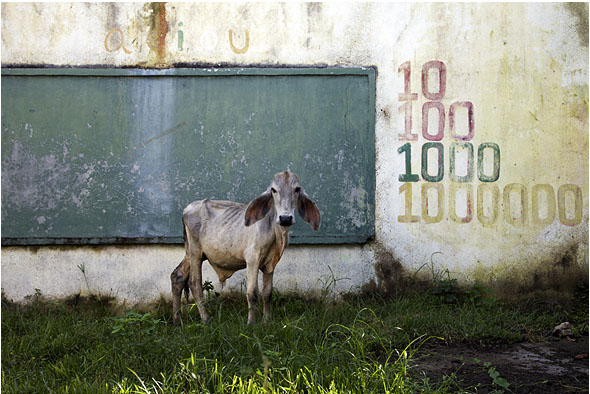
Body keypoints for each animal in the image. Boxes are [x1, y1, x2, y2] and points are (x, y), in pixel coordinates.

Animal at [169, 171, 322, 324]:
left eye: (297, 189)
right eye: (274, 190)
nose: (285, 218)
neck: (275, 232)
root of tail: (187, 208)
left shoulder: (270, 263)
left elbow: (268, 293)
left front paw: (266, 322)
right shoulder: (252, 258)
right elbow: (252, 293)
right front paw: (251, 323)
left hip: (191, 253)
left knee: (177, 276)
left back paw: (176, 319)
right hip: (196, 253)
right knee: (194, 284)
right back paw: (205, 320)